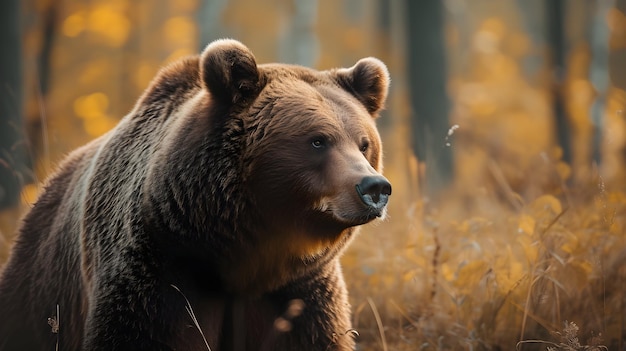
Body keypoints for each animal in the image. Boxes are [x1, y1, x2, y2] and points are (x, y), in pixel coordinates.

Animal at [0, 40, 390, 350]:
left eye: (364, 143)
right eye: (318, 140)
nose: (374, 188)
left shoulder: (299, 291)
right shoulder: (158, 272)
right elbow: (140, 333)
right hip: (41, 284)